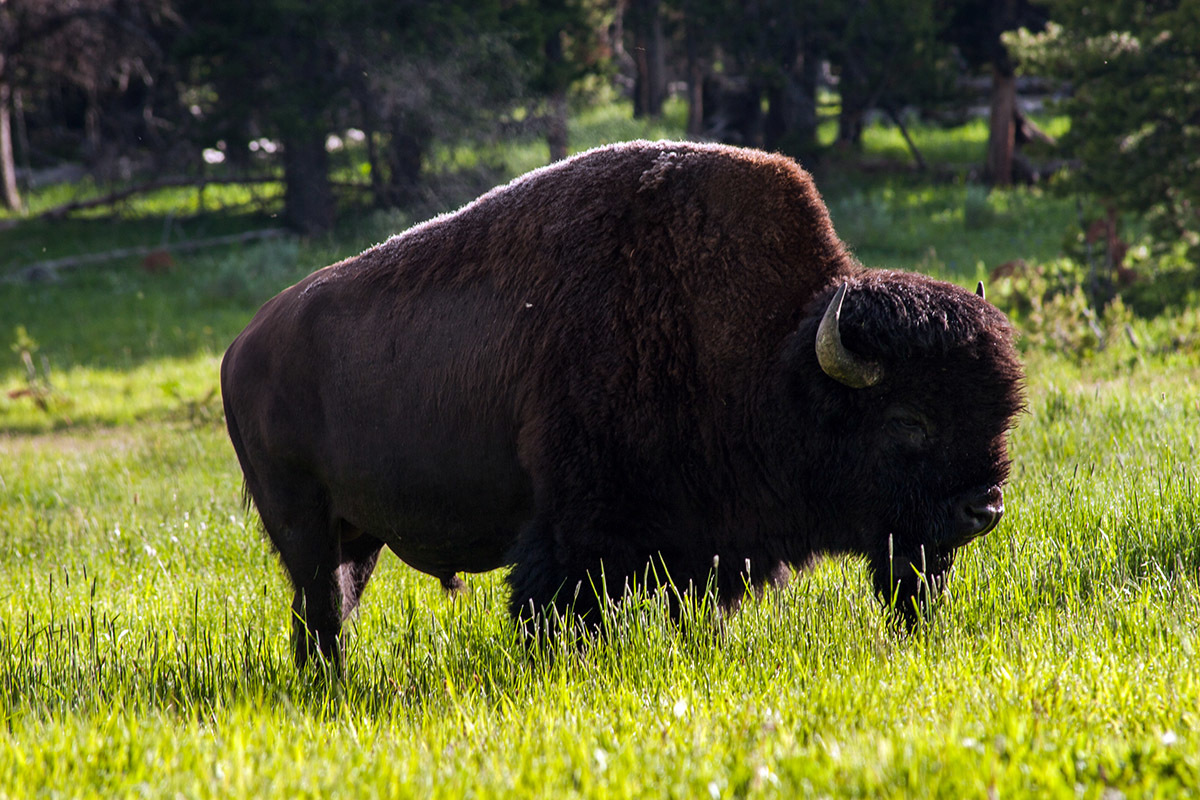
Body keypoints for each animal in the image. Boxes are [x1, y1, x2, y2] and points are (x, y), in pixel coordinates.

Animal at [218, 139, 1022, 671]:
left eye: (1001, 414)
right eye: (908, 421)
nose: (982, 508)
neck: (770, 349)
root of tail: (241, 346)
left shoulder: (706, 544)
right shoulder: (575, 531)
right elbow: (558, 608)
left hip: (358, 535)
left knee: (331, 609)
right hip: (301, 522)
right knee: (321, 609)